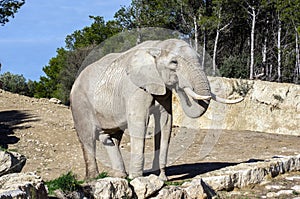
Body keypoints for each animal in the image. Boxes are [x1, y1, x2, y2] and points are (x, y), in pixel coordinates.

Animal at [69, 38, 243, 180]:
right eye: (174, 63)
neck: (157, 46)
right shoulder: (136, 88)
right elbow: (140, 121)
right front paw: (137, 178)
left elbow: (166, 122)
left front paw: (162, 178)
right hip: (79, 104)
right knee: (87, 137)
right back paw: (94, 178)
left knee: (112, 138)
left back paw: (120, 175)